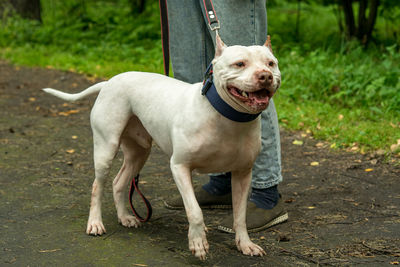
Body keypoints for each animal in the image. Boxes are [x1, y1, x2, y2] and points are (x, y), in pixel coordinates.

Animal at [43, 34, 282, 260]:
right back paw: (95, 223)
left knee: (119, 182)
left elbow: (240, 216)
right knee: (97, 186)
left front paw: (246, 244)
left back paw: (125, 217)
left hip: (139, 152)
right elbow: (194, 211)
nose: (265, 76)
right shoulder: (179, 167)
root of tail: (110, 81)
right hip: (106, 148)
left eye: (271, 63)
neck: (225, 116)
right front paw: (198, 243)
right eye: (240, 63)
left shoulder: (242, 173)